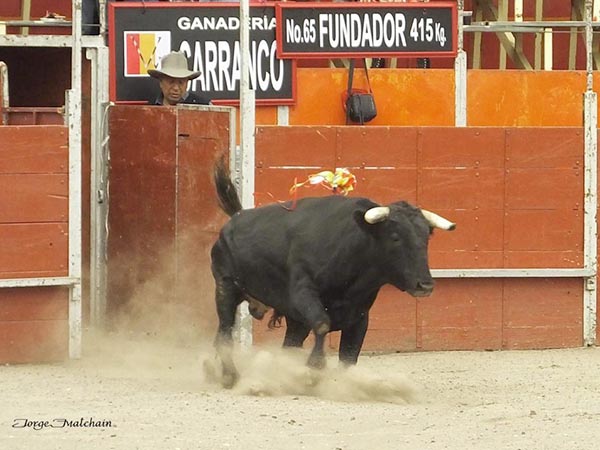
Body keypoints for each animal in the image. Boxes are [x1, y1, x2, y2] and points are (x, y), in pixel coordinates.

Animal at [211, 161, 454, 386]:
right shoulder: (303, 292)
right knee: (224, 333)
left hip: (293, 319)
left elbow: (349, 355)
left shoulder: (359, 318)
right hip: (226, 288)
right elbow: (322, 324)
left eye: (426, 238)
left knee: (288, 343)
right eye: (395, 237)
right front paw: (314, 367)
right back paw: (229, 375)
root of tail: (236, 215)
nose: (425, 285)